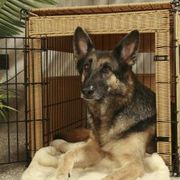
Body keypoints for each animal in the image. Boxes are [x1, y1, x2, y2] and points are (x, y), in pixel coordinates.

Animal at [50, 27, 156, 180]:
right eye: (86, 66)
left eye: (106, 69)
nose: (86, 91)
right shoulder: (94, 150)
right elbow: (68, 155)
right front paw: (61, 173)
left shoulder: (135, 164)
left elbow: (110, 176)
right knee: (69, 147)